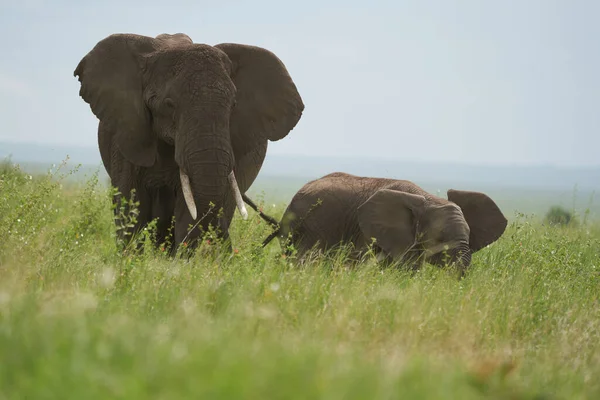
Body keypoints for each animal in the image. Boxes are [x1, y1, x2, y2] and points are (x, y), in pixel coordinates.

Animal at [74, 32, 304, 253]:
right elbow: (131, 206)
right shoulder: (128, 134)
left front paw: (177, 264)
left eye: (233, 105)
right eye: (168, 104)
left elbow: (188, 213)